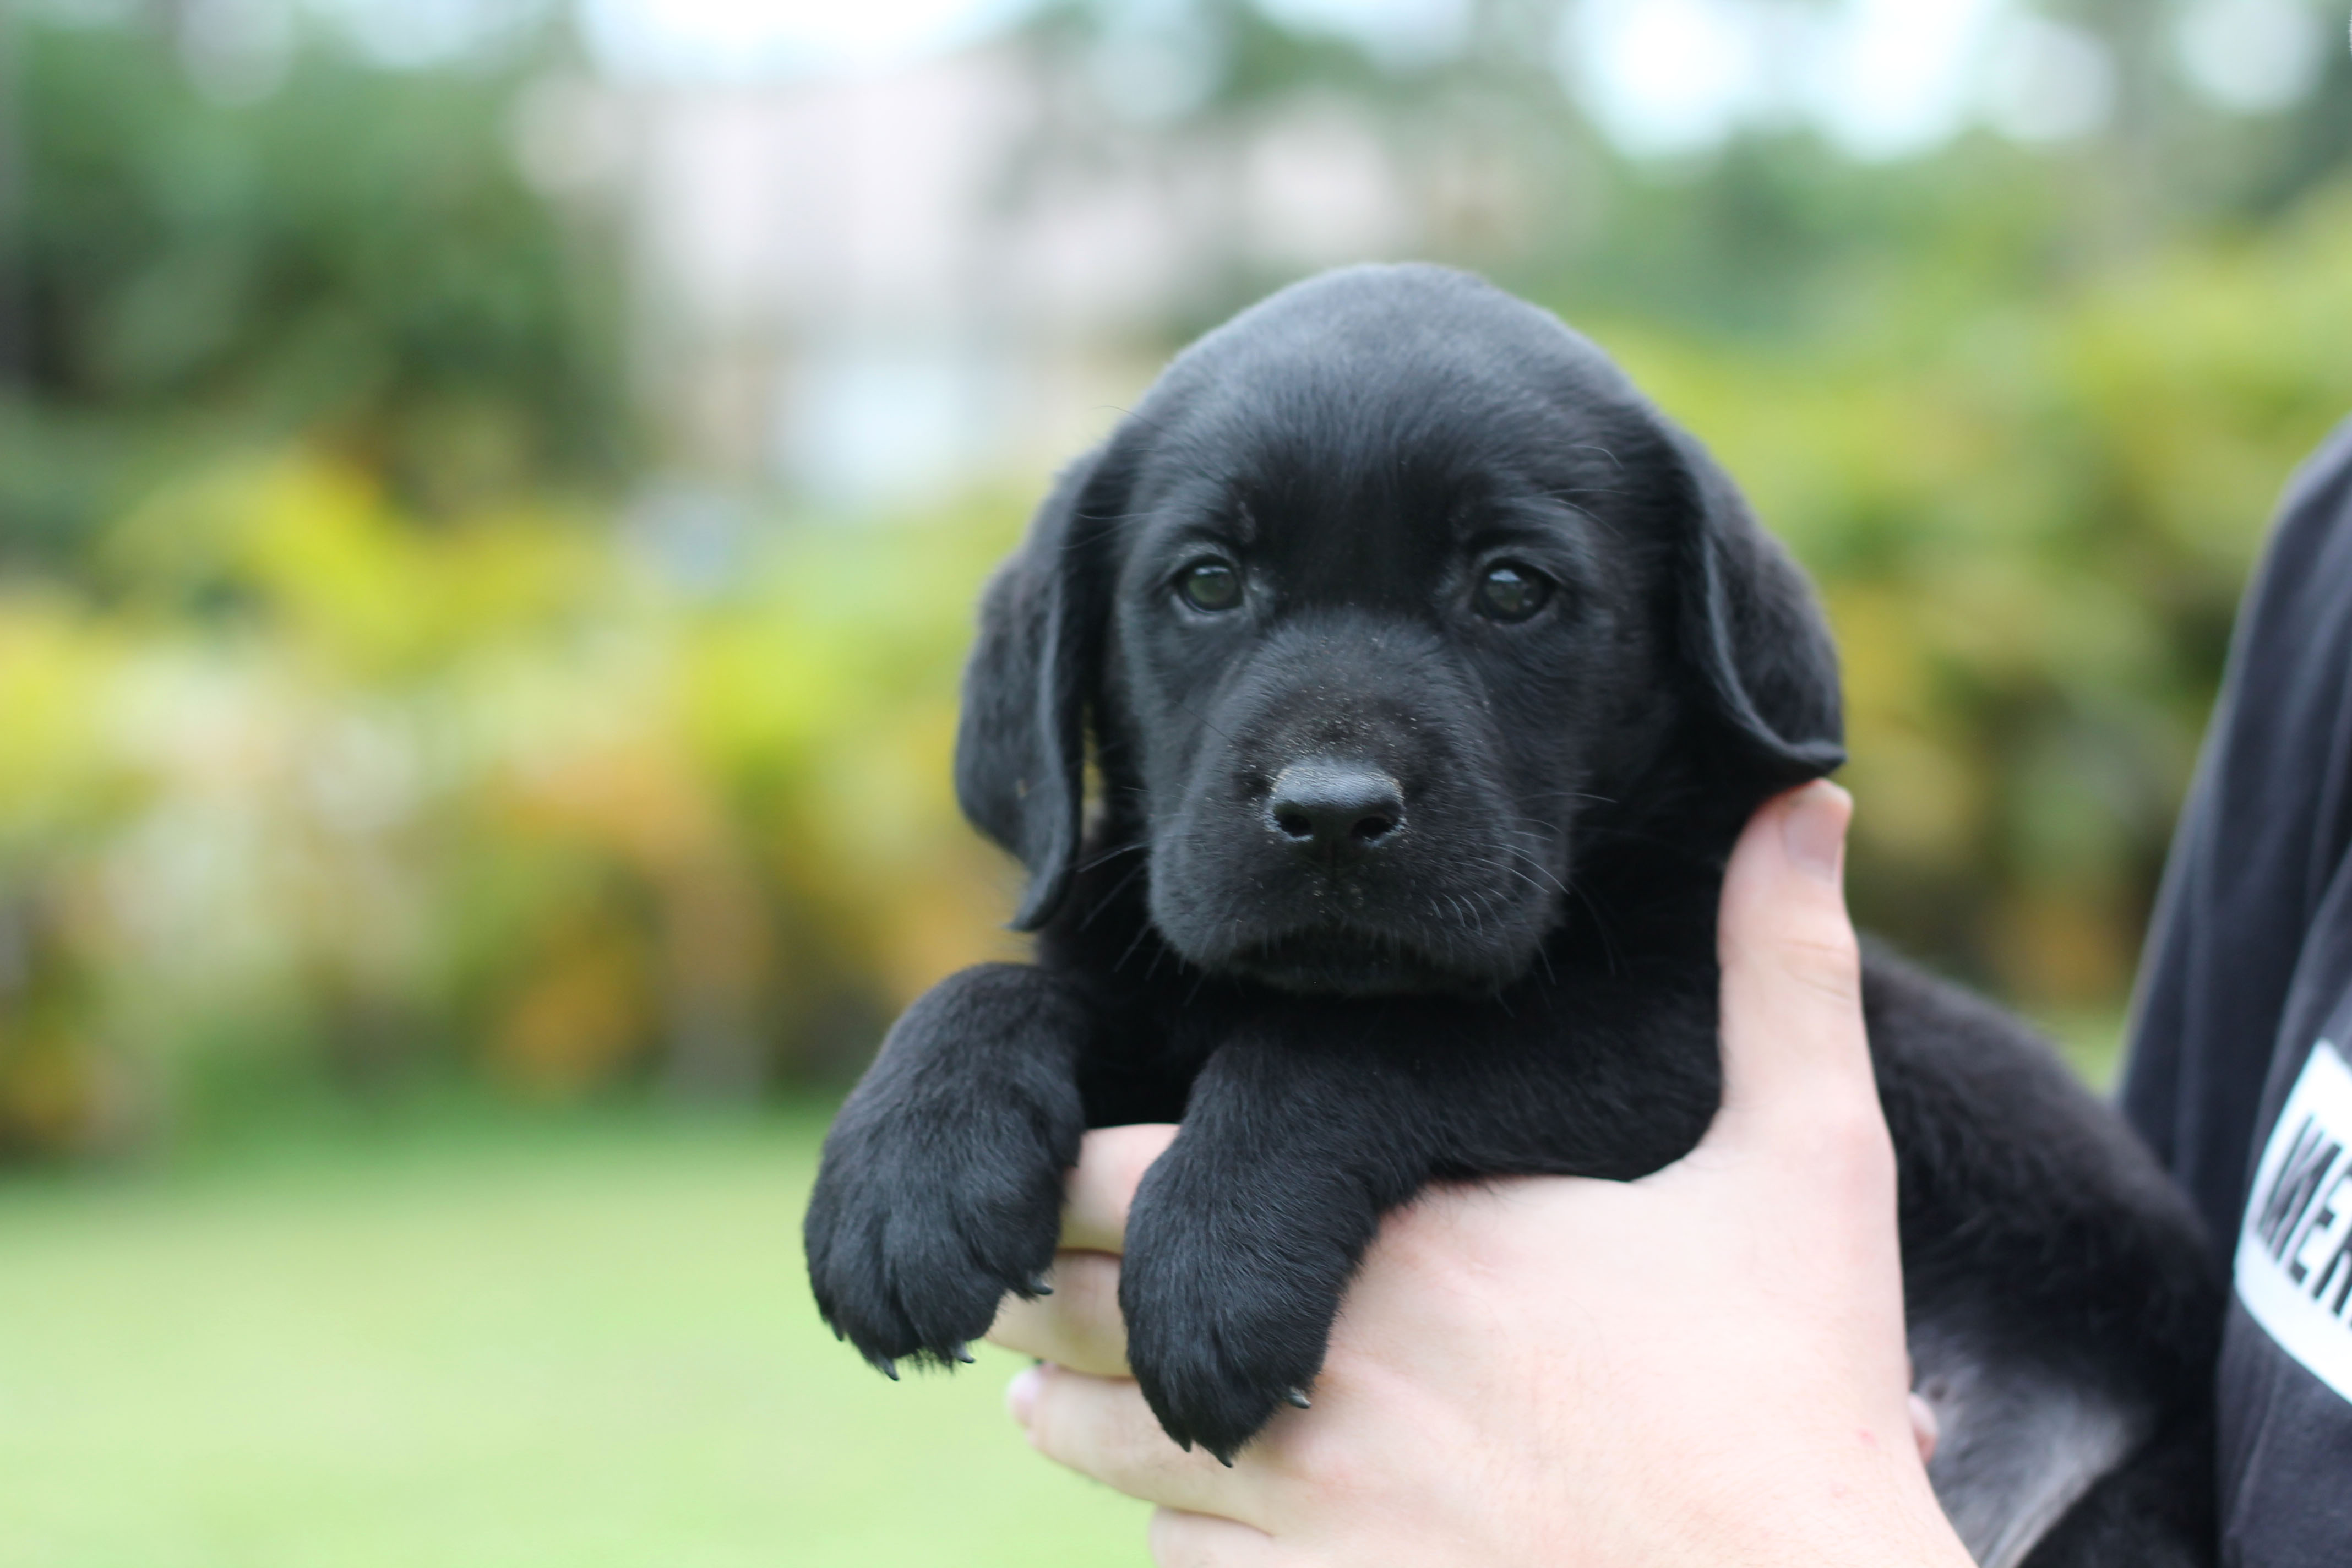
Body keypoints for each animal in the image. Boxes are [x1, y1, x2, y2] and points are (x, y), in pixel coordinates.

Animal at [799, 263, 2211, 1561]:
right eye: (1206, 582)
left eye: (1513, 587)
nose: (1331, 812)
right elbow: (993, 986)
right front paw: (905, 1176)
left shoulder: (1668, 1030)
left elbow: (1357, 1040)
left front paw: (1219, 1252)